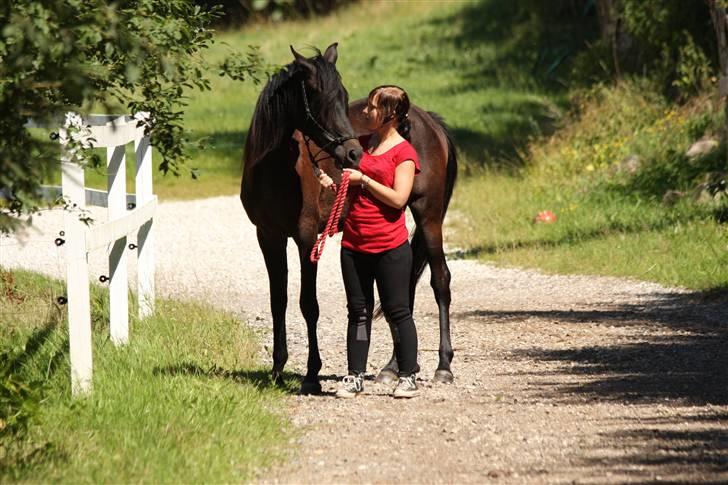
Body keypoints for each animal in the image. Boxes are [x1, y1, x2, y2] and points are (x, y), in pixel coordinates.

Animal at [242, 42, 458, 394]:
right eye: (319, 100)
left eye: (343, 98)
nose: (355, 154)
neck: (275, 169)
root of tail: (429, 121)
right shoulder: (268, 236)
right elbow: (278, 301)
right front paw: (277, 370)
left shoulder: (306, 237)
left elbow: (308, 304)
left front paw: (311, 375)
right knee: (403, 290)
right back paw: (392, 368)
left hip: (428, 216)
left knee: (440, 281)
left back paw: (443, 365)